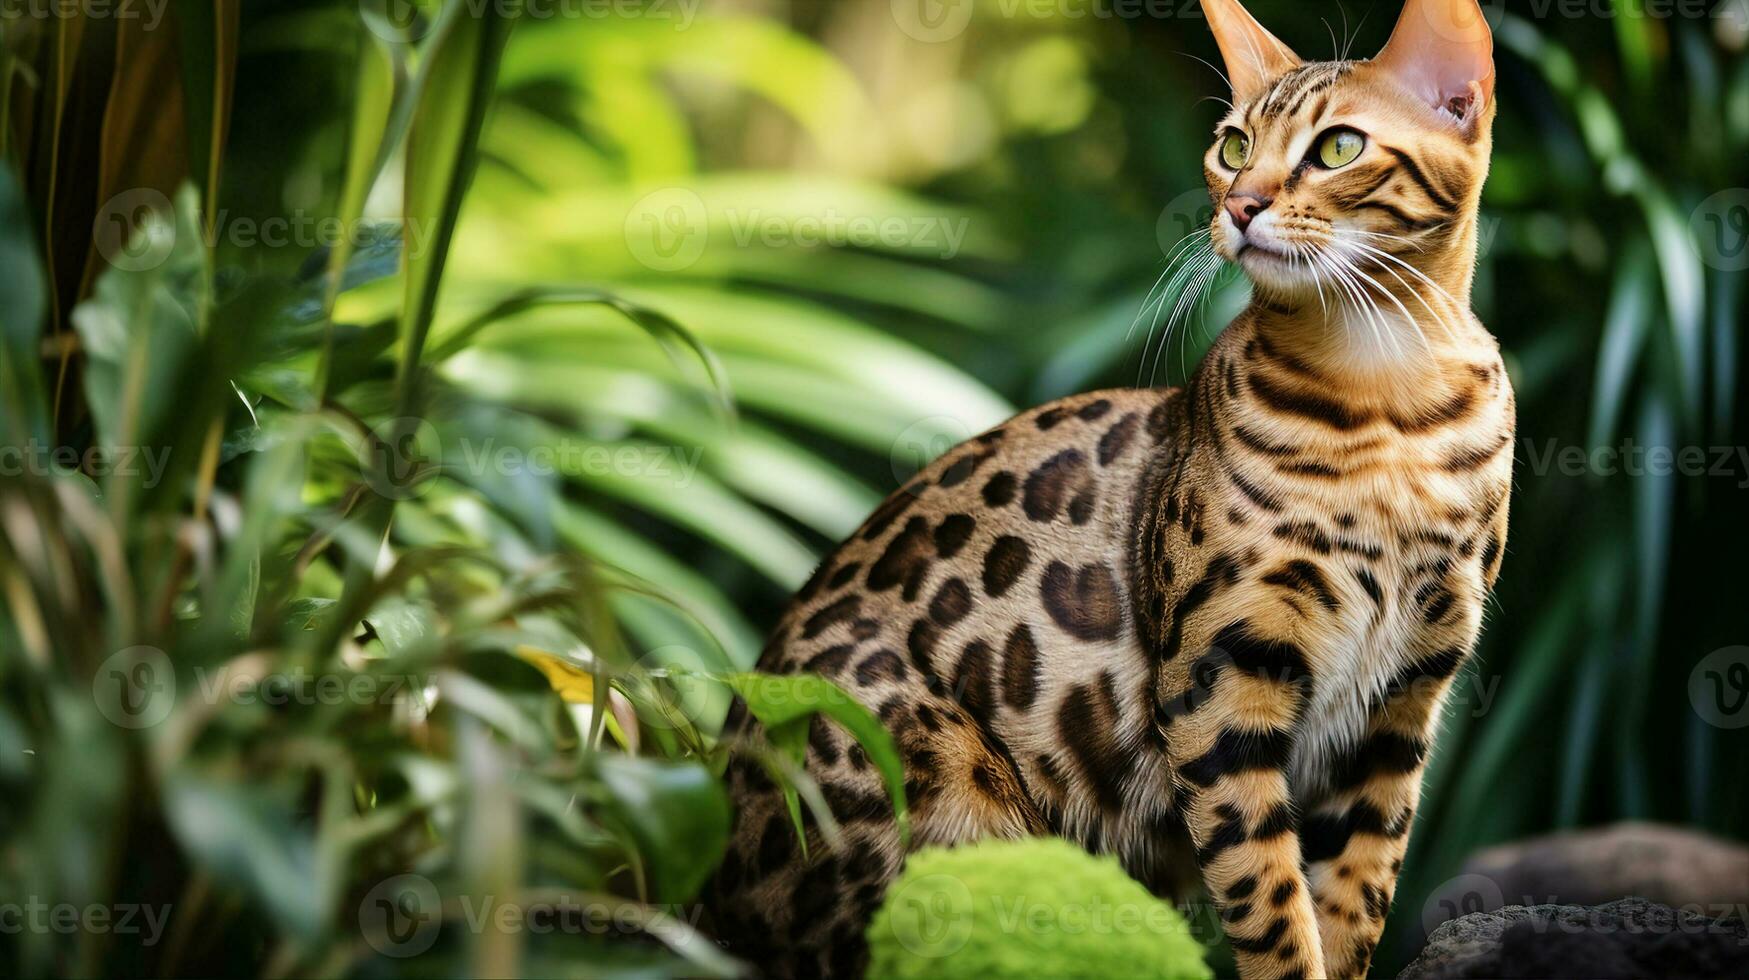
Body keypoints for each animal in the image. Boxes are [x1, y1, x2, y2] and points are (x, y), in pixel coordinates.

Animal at [703, 3, 1511, 973]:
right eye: (1234, 147)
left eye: (1338, 147)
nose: (1239, 206)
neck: (1388, 401)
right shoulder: (1219, 676)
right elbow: (1268, 898)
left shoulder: (1403, 701)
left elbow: (1356, 893)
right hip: (940, 786)